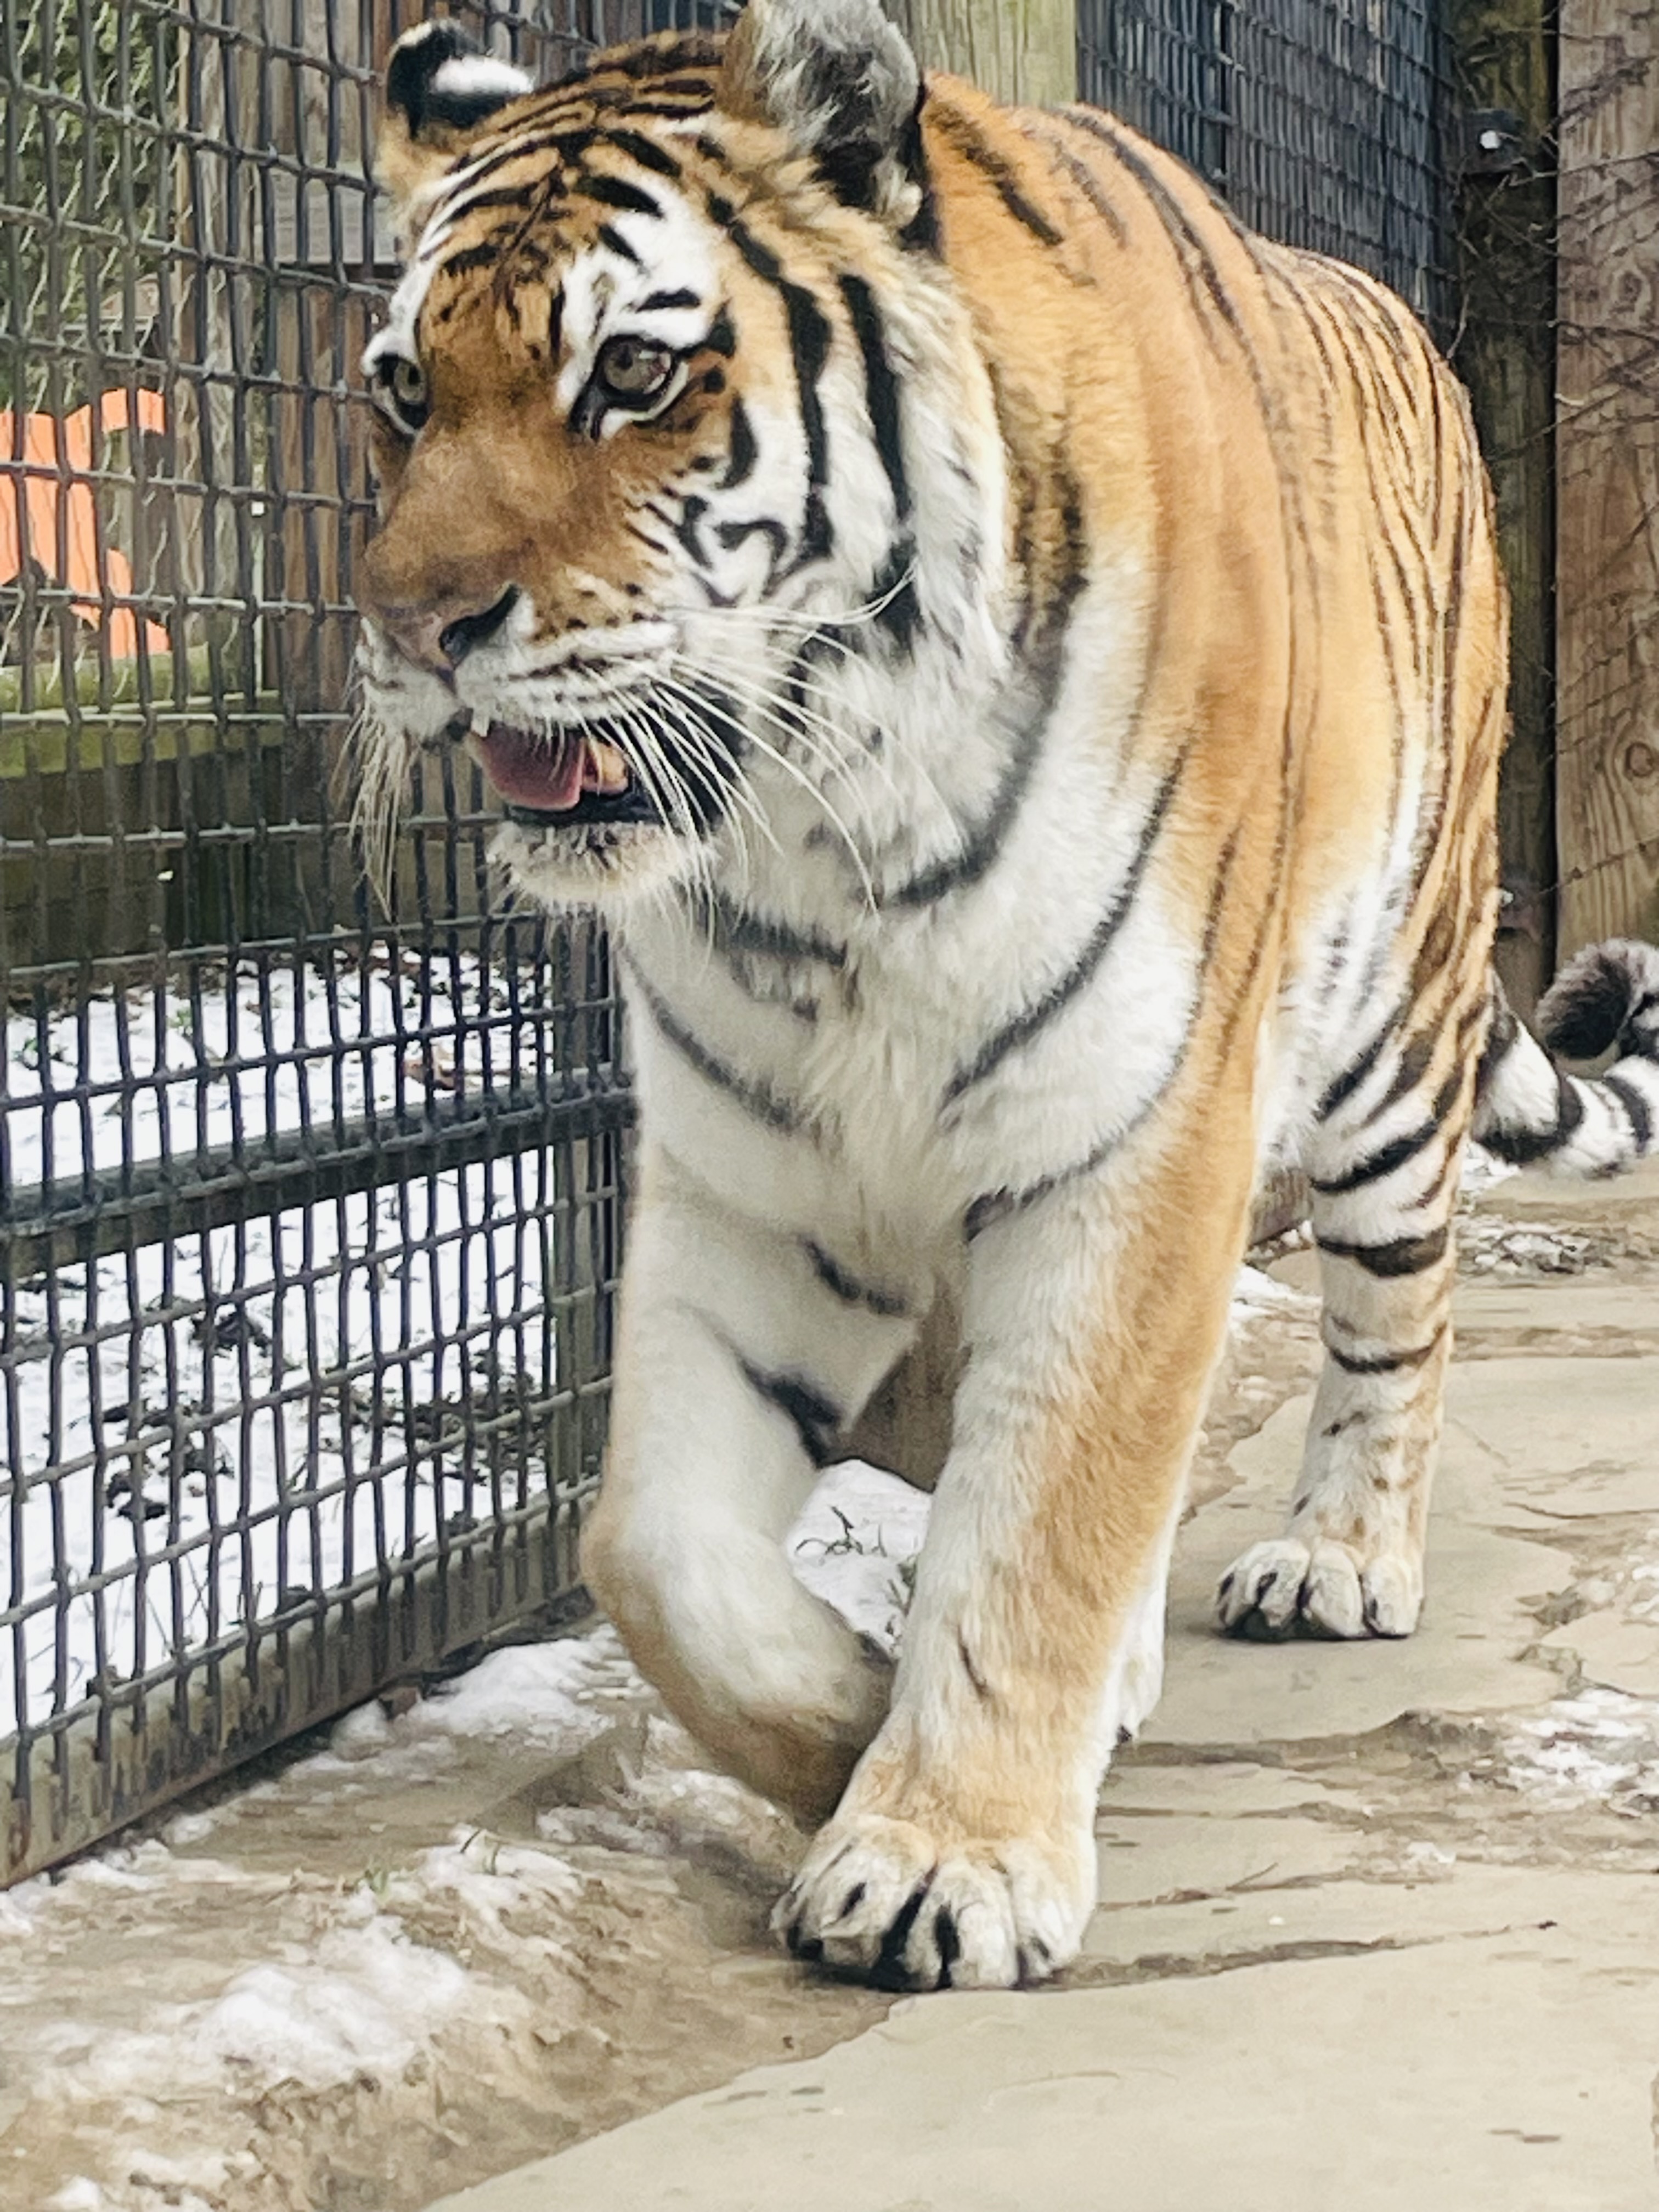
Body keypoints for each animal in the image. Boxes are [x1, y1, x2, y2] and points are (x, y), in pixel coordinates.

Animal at [354, 0, 1659, 1992]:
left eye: (635, 374)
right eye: (407, 392)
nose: (414, 631)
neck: (818, 847)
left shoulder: (1142, 1133)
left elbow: (1048, 1513)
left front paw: (936, 1859)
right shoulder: (748, 1177)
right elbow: (652, 1544)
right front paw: (840, 1730)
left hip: (1382, 1050)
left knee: (1391, 1329)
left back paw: (1337, 1563)